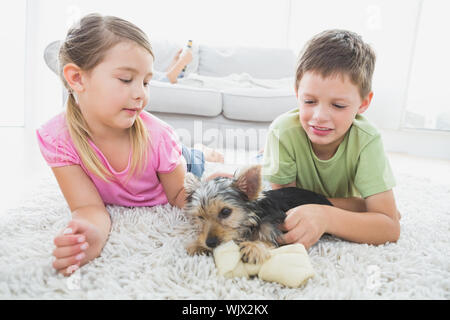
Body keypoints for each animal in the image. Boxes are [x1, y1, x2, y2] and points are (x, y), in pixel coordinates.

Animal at [185, 164, 332, 264]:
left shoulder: (273, 230)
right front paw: (198, 245)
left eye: (225, 212)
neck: (253, 220)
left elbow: (268, 241)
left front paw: (254, 247)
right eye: (200, 217)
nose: (210, 242)